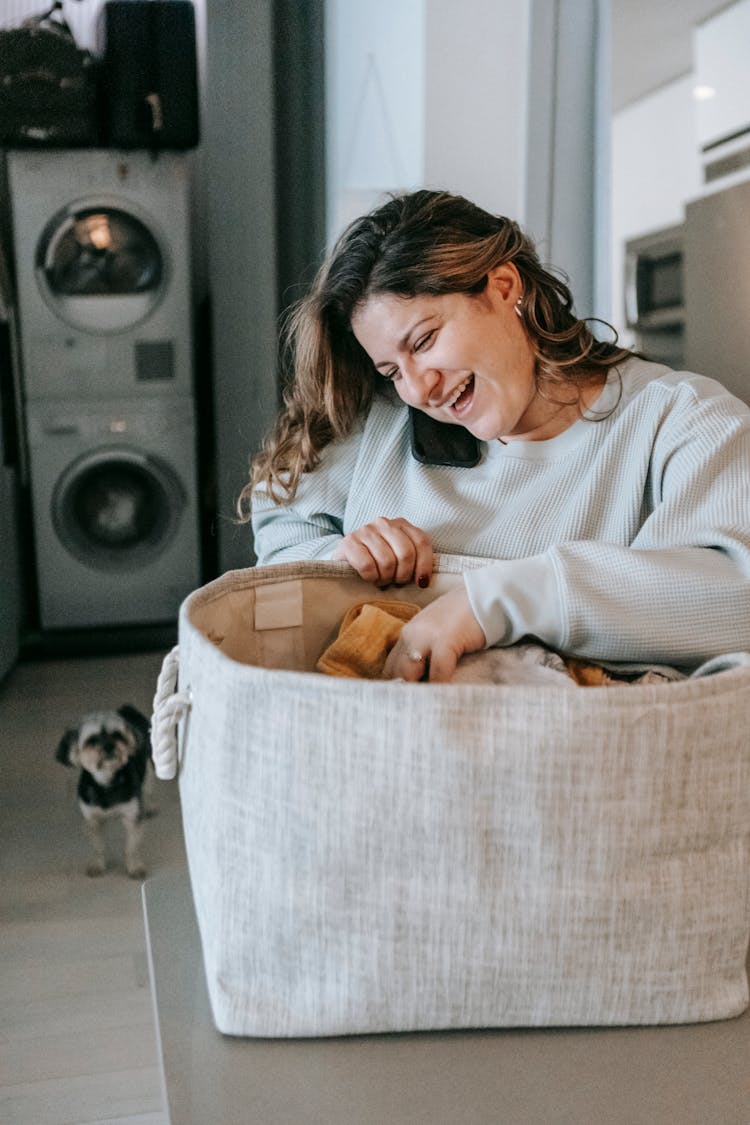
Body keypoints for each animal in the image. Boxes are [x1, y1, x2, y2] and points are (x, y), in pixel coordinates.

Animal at [57, 702, 155, 877]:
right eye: (91, 740)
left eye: (117, 735)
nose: (109, 746)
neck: (107, 782)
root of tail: (126, 710)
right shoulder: (92, 820)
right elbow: (98, 847)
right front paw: (98, 865)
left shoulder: (131, 816)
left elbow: (131, 847)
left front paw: (134, 867)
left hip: (148, 768)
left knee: (148, 786)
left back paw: (149, 806)